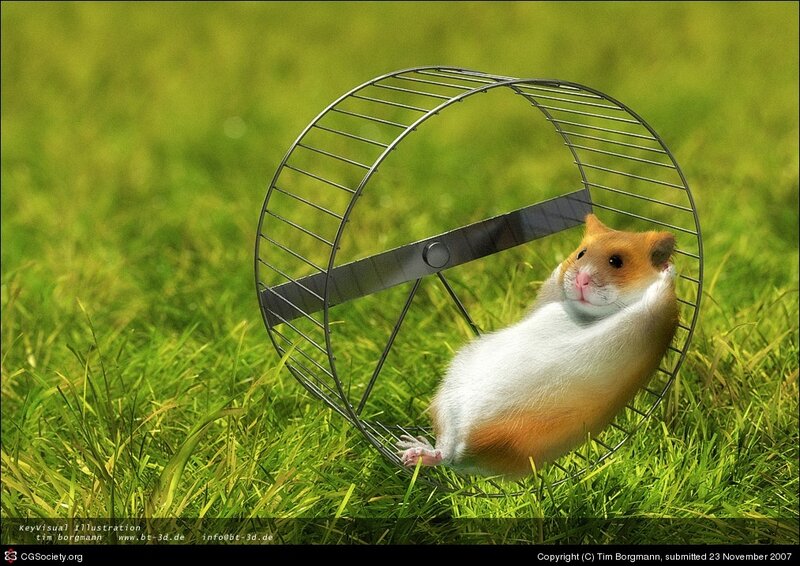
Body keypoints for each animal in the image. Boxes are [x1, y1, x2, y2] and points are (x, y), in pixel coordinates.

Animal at [396, 213, 679, 477]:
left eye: (616, 261)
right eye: (581, 253)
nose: (581, 280)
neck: (587, 317)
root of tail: (465, 443)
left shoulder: (649, 328)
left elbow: (652, 300)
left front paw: (667, 269)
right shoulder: (549, 295)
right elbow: (555, 279)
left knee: (450, 454)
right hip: (450, 390)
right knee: (444, 448)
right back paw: (409, 450)